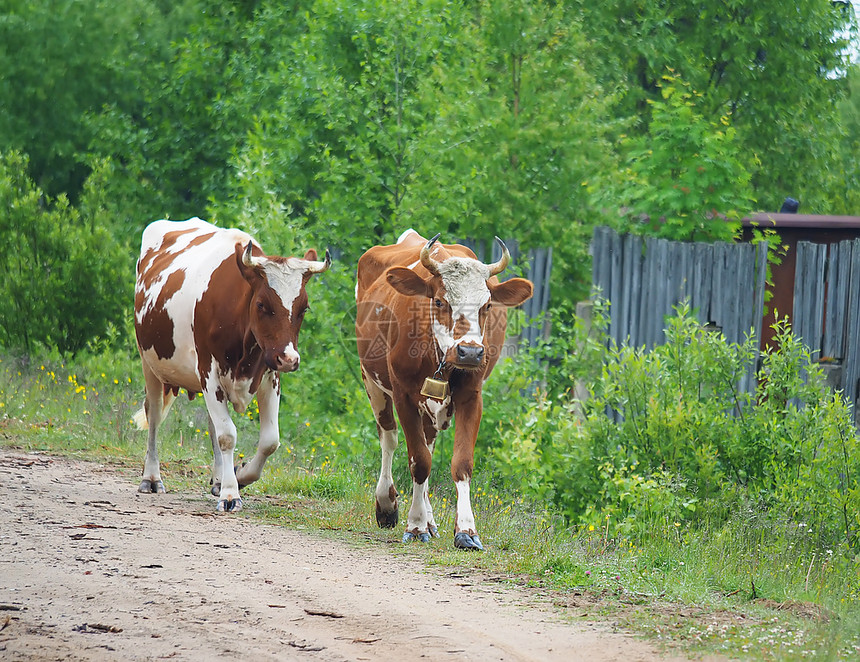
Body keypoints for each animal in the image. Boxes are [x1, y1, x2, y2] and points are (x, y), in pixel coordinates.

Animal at [134, 219, 330, 512]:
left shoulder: (269, 374)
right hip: (151, 366)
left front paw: (240, 476)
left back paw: (217, 478)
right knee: (155, 415)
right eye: (261, 304)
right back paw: (152, 477)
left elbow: (269, 441)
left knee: (212, 425)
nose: (289, 359)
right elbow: (227, 434)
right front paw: (230, 493)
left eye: (304, 308)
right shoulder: (208, 372)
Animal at [354, 231, 532, 552]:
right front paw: (414, 526)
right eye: (439, 301)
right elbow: (419, 462)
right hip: (371, 381)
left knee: (427, 443)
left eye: (487, 306)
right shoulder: (403, 395)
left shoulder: (472, 396)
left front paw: (466, 530)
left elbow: (460, 463)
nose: (470, 352)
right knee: (389, 437)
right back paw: (387, 504)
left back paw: (430, 520)